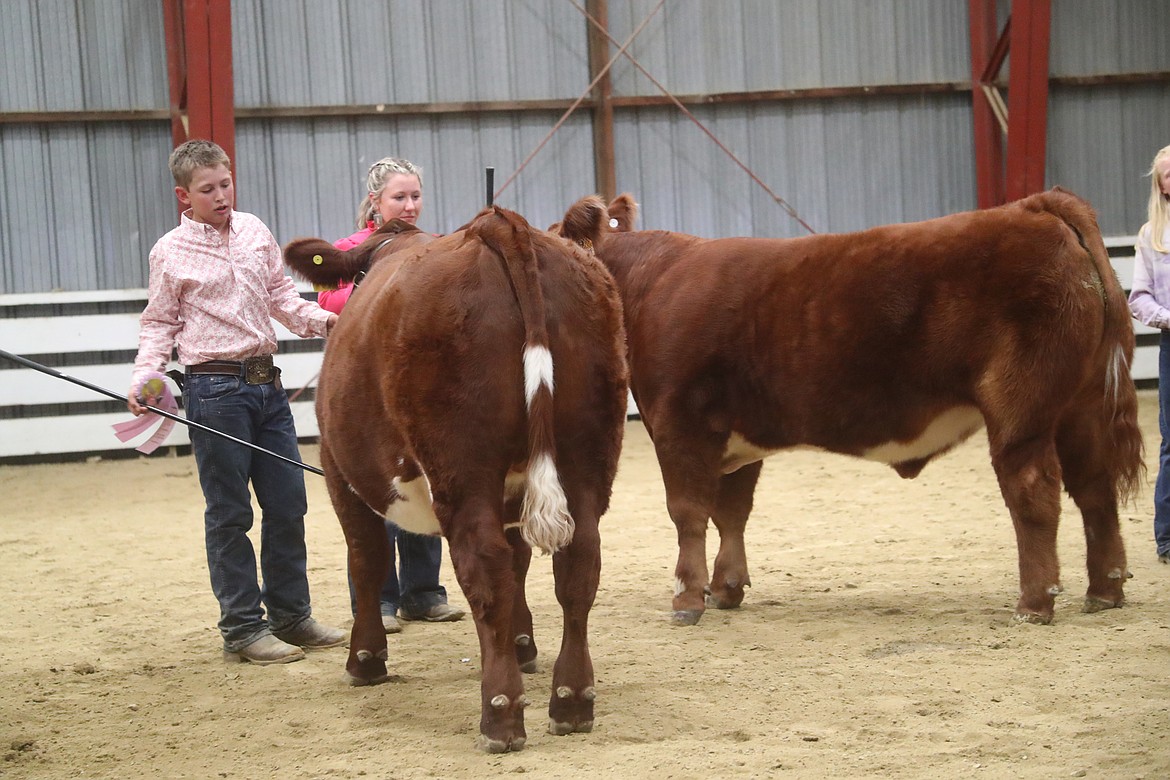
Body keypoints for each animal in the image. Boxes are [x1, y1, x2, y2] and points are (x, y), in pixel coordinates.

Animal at [285, 201, 631, 748]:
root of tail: (499, 223)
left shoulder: (340, 473)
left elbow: (366, 560)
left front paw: (365, 659)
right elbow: (520, 562)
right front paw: (523, 644)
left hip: (460, 463)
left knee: (483, 566)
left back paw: (501, 713)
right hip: (588, 453)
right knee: (578, 564)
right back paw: (572, 701)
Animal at [585, 189, 1141, 626]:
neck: (655, 282)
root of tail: (1034, 206)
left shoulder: (679, 423)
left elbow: (688, 512)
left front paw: (687, 598)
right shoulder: (737, 438)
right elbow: (732, 514)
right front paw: (726, 588)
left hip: (1021, 408)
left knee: (1034, 491)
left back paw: (1034, 602)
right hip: (1082, 406)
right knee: (1094, 489)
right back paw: (1105, 591)